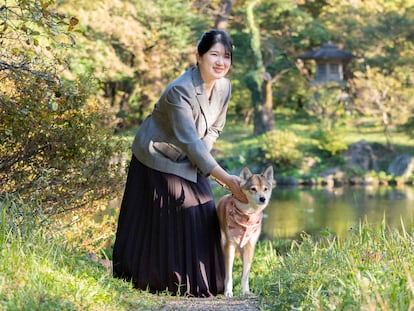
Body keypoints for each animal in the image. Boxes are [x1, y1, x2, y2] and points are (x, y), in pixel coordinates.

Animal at [217, 167, 274, 298]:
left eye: (265, 189)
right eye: (253, 189)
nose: (263, 198)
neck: (247, 215)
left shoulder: (250, 246)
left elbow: (245, 274)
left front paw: (246, 291)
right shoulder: (230, 246)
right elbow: (229, 274)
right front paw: (228, 291)